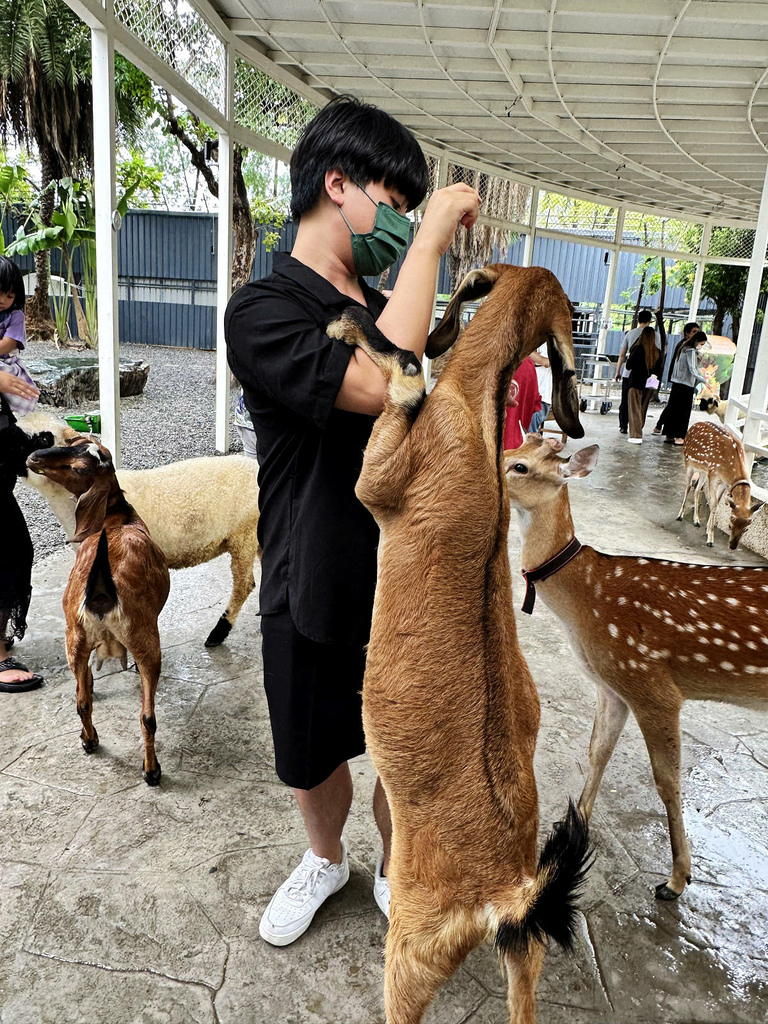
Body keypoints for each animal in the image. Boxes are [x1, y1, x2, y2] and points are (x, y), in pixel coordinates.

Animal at [28, 438, 171, 782]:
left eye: (79, 467)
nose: (34, 456)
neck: (117, 518)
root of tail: (102, 593)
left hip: (74, 637)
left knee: (81, 701)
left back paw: (89, 740)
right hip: (145, 639)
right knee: (147, 715)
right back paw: (151, 770)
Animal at [329, 266, 589, 1024]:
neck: (473, 405)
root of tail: (506, 892)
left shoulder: (382, 477)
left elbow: (407, 378)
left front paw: (351, 327)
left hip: (414, 952)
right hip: (523, 953)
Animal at [679, 417, 757, 548]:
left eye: (746, 529)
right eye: (730, 524)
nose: (732, 546)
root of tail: (693, 426)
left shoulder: (723, 483)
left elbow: (717, 503)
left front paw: (706, 530)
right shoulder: (714, 475)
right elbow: (714, 504)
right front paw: (710, 539)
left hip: (703, 471)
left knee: (697, 489)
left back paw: (696, 520)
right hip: (688, 462)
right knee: (688, 487)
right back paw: (680, 515)